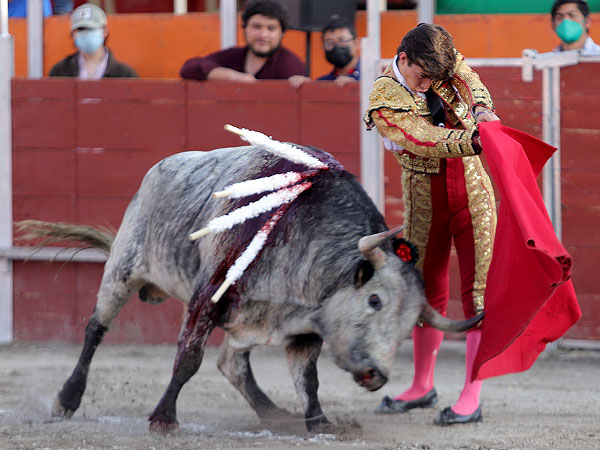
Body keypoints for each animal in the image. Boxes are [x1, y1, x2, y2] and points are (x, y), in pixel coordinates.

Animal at [19, 142, 482, 434]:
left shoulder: (304, 328)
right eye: (374, 299)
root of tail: (160, 168)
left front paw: (319, 422)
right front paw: (163, 418)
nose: (376, 374)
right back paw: (67, 399)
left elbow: (307, 379)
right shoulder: (208, 295)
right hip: (124, 267)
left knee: (233, 363)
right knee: (96, 328)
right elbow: (188, 358)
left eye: (407, 327)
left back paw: (272, 413)